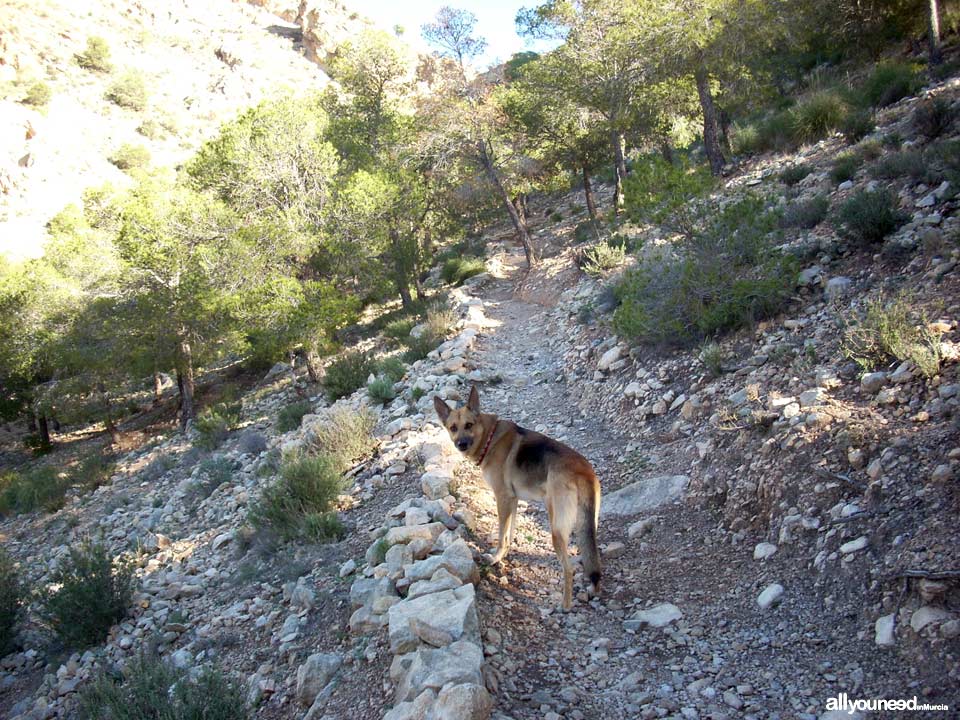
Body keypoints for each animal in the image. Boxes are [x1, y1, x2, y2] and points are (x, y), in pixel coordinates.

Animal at [436, 386, 600, 612]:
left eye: (468, 425)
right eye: (453, 428)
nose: (461, 444)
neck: (490, 438)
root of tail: (584, 471)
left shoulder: (502, 498)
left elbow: (501, 534)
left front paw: (495, 558)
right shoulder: (512, 500)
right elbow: (509, 533)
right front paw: (505, 554)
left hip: (556, 527)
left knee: (568, 569)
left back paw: (565, 606)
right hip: (587, 524)